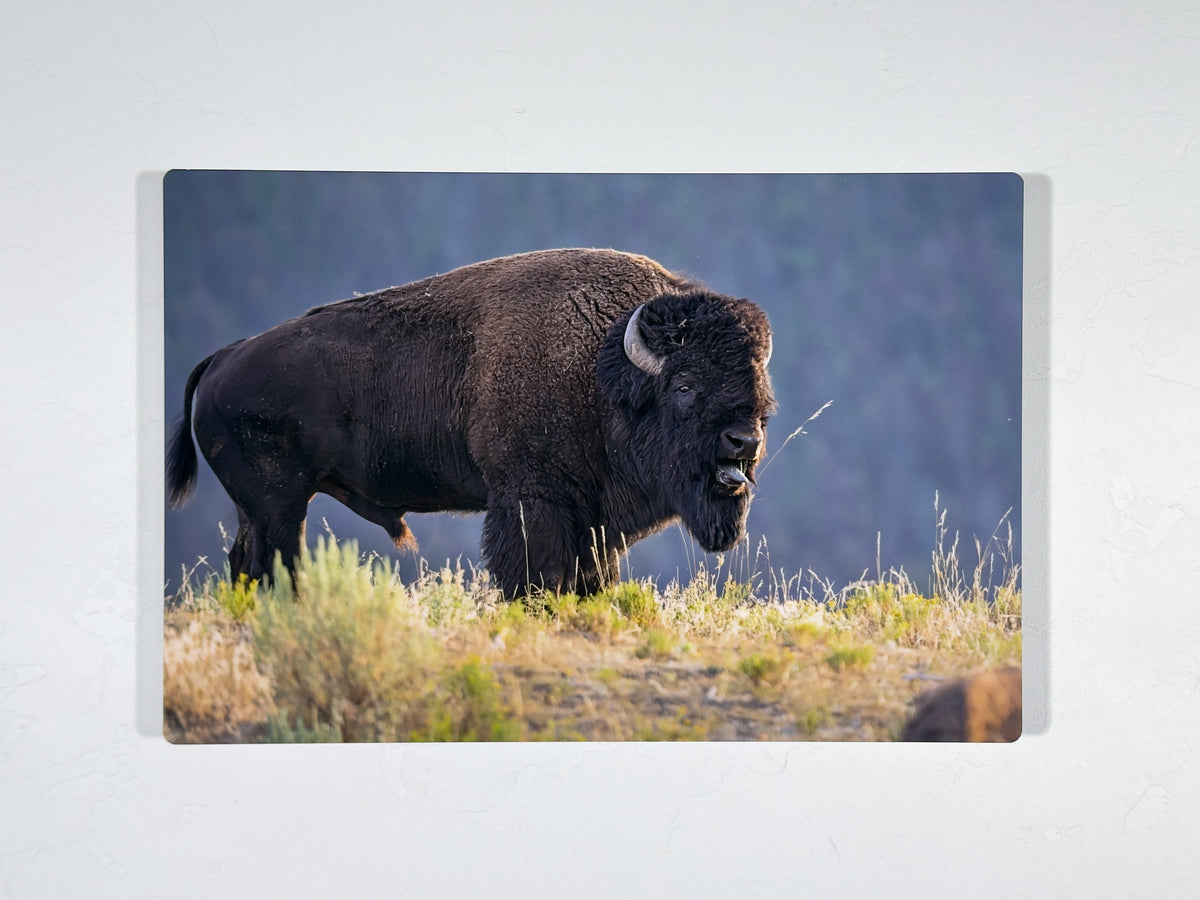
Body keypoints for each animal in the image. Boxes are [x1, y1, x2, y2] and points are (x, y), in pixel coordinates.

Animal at [167, 248, 776, 598]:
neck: (601, 371)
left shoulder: (592, 521)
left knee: (246, 563)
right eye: (684, 386)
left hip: (262, 509)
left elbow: (591, 579)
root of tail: (222, 358)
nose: (743, 441)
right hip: (280, 505)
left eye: (761, 390)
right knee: (272, 562)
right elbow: (534, 574)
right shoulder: (532, 501)